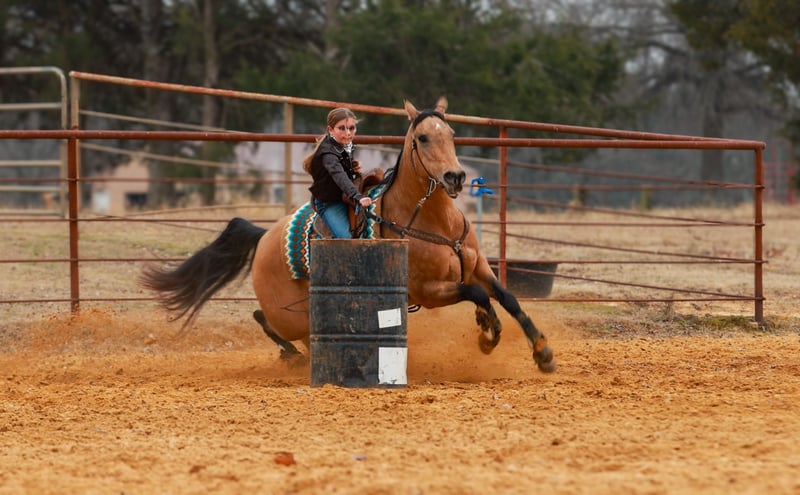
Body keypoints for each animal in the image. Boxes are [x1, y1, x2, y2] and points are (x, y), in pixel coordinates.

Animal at [140, 97, 556, 373]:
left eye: (451, 133)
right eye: (422, 137)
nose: (455, 177)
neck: (434, 222)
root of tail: (264, 236)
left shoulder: (479, 267)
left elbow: (506, 297)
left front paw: (542, 353)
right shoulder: (429, 291)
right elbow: (479, 296)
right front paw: (488, 335)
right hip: (288, 313)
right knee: (265, 318)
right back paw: (295, 356)